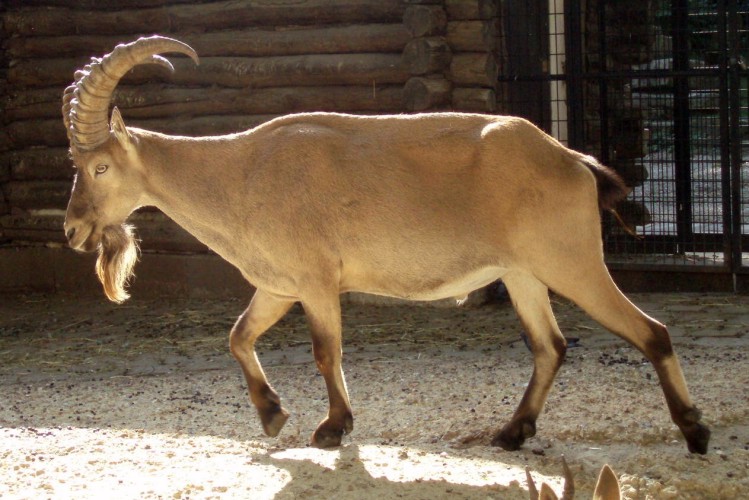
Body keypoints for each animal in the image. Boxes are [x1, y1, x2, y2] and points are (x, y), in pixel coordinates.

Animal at [62, 36, 710, 453]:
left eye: (98, 167)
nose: (71, 230)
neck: (240, 173)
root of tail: (573, 161)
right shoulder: (278, 287)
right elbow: (238, 336)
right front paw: (273, 417)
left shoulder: (316, 281)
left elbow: (326, 351)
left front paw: (332, 428)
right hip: (523, 274)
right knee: (550, 345)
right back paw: (511, 433)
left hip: (571, 262)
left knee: (651, 331)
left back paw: (695, 432)